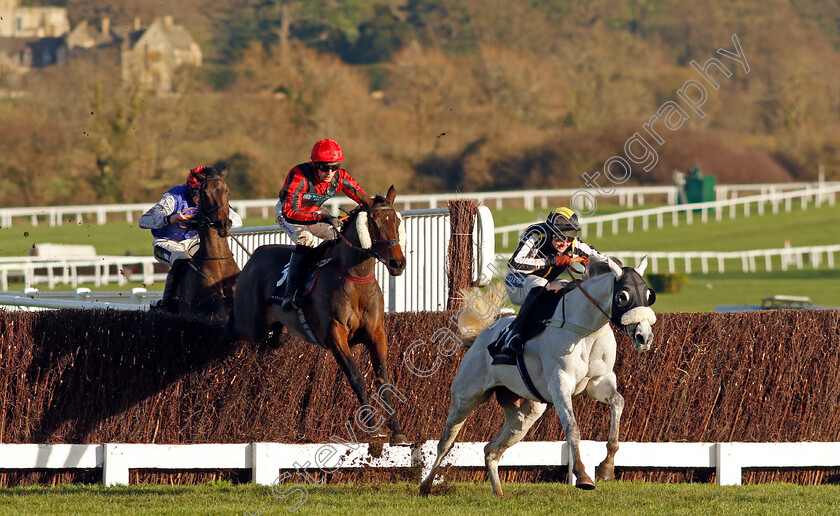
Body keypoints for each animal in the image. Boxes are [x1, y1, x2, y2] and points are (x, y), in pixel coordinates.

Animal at [230, 187, 410, 446]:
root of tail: (255, 255)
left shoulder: (377, 333)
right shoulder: (335, 334)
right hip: (250, 325)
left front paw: (397, 430)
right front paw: (372, 429)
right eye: (374, 223)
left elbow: (384, 380)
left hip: (270, 332)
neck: (356, 277)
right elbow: (356, 377)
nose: (398, 263)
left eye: (396, 220)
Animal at [420, 256, 656, 496]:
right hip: (466, 397)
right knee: (446, 442)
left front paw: (607, 468)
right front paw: (582, 475)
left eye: (649, 295)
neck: (586, 330)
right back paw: (426, 485)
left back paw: (498, 493)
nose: (644, 337)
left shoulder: (599, 382)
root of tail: (482, 334)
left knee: (491, 450)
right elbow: (572, 428)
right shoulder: (560, 385)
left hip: (524, 414)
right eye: (622, 296)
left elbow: (618, 402)